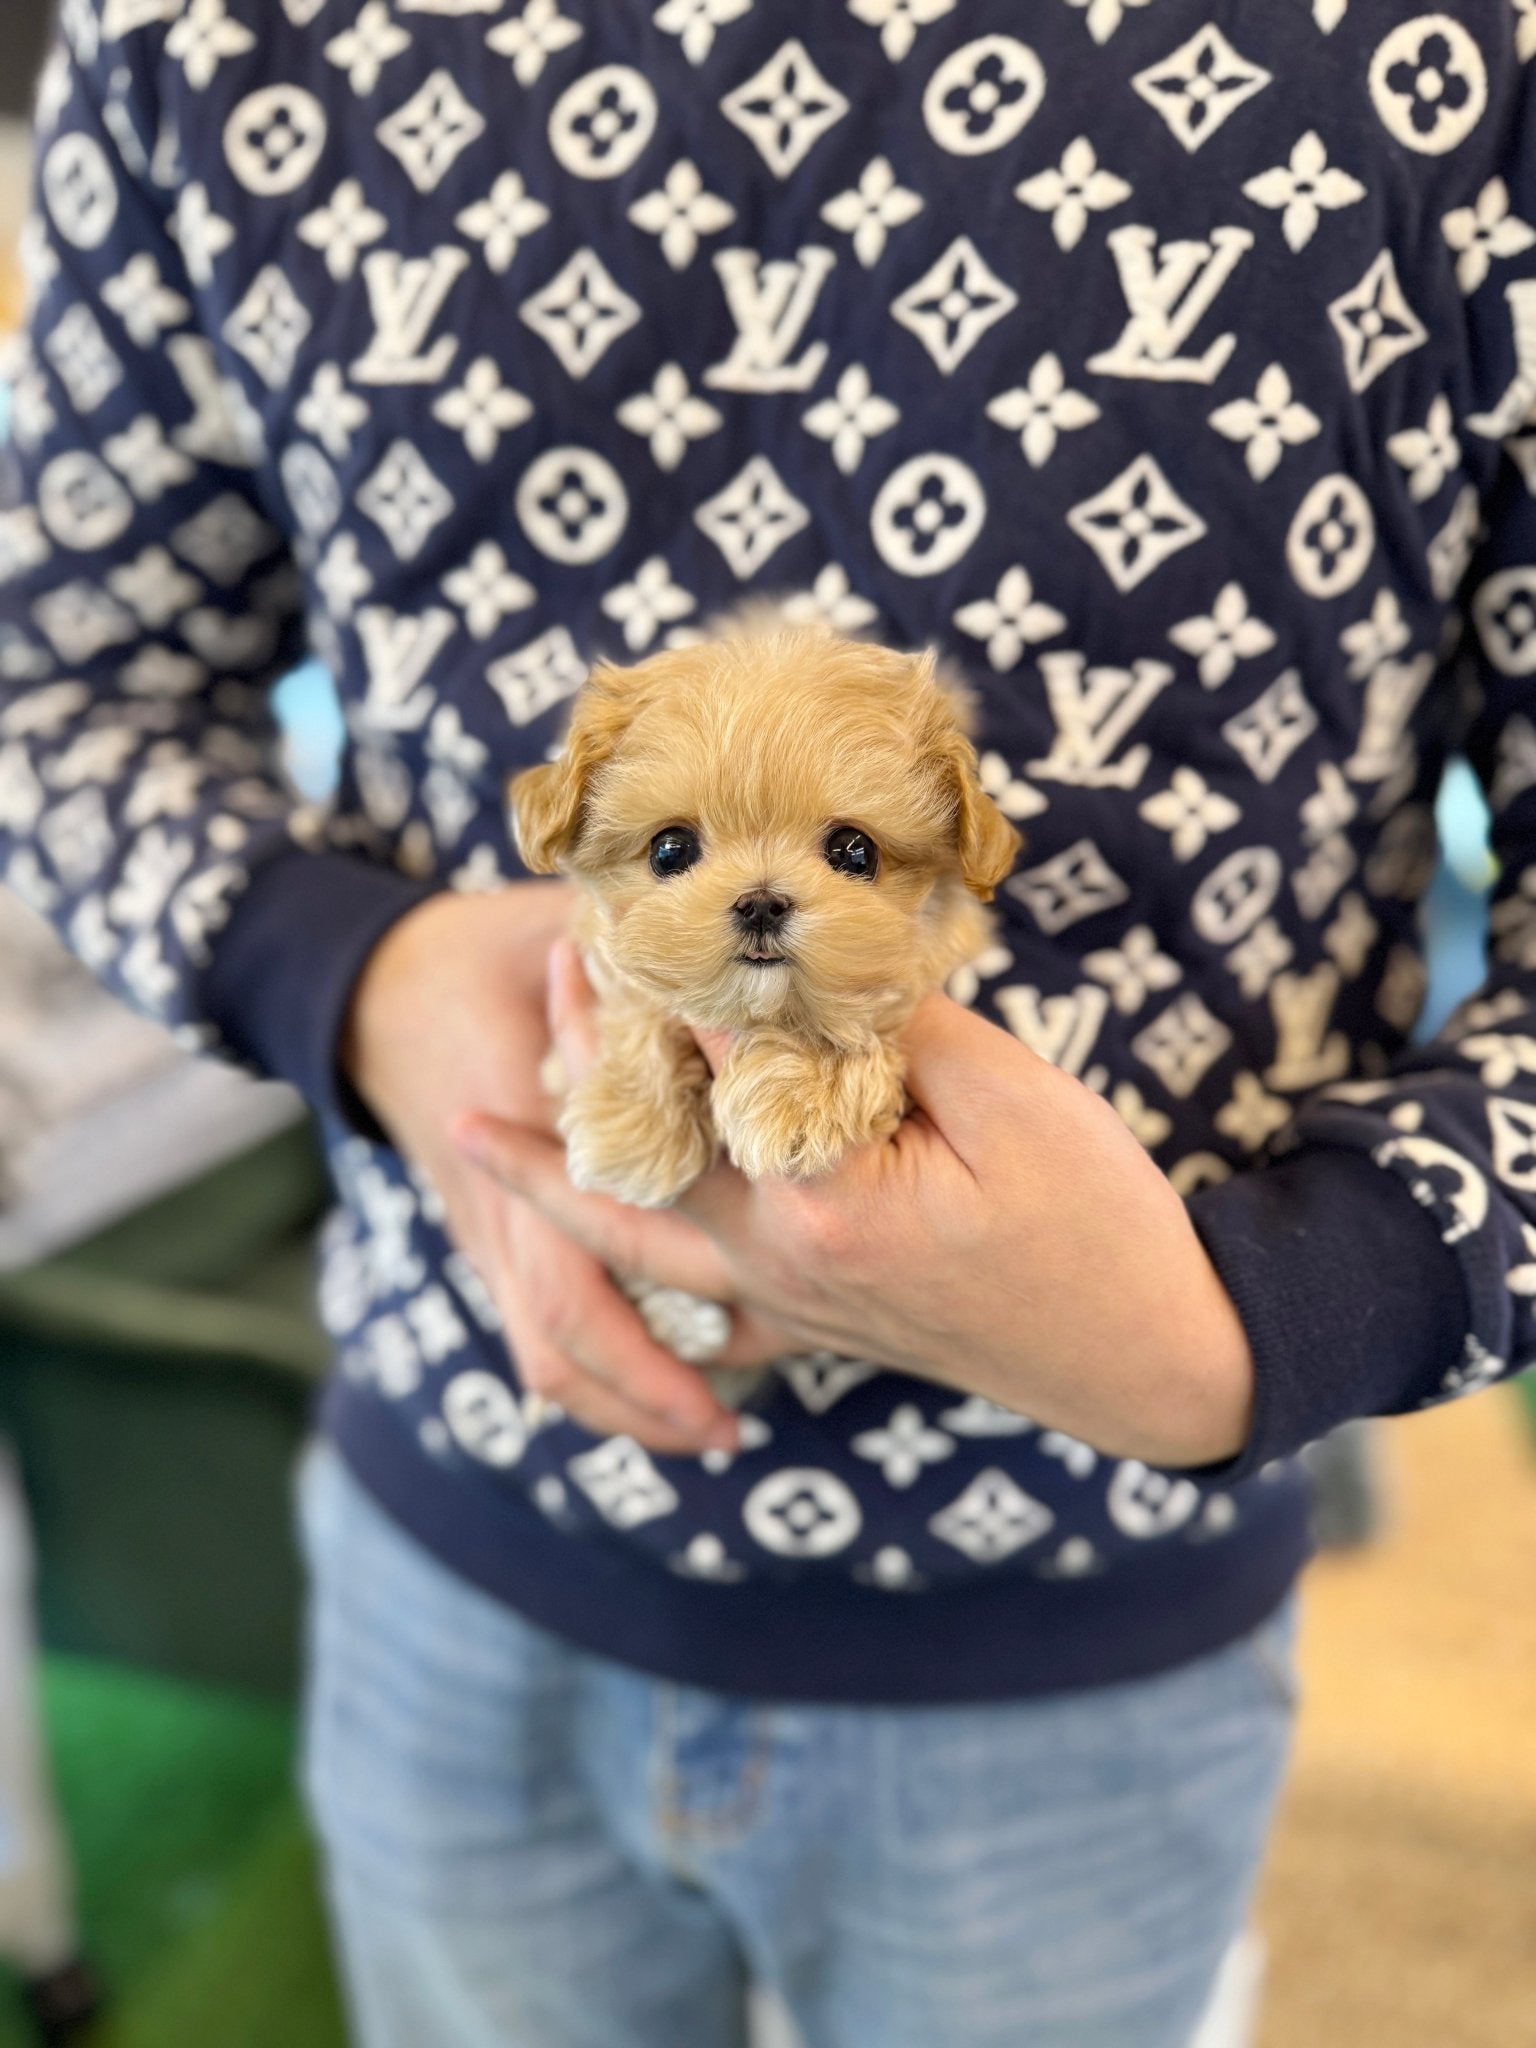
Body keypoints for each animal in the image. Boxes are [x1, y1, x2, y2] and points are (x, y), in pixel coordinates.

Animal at [512, 614, 1028, 1204]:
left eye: (855, 852)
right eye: (670, 850)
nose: (760, 904)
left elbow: (859, 1011)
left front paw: (798, 1096)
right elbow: (641, 1003)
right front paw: (636, 1127)